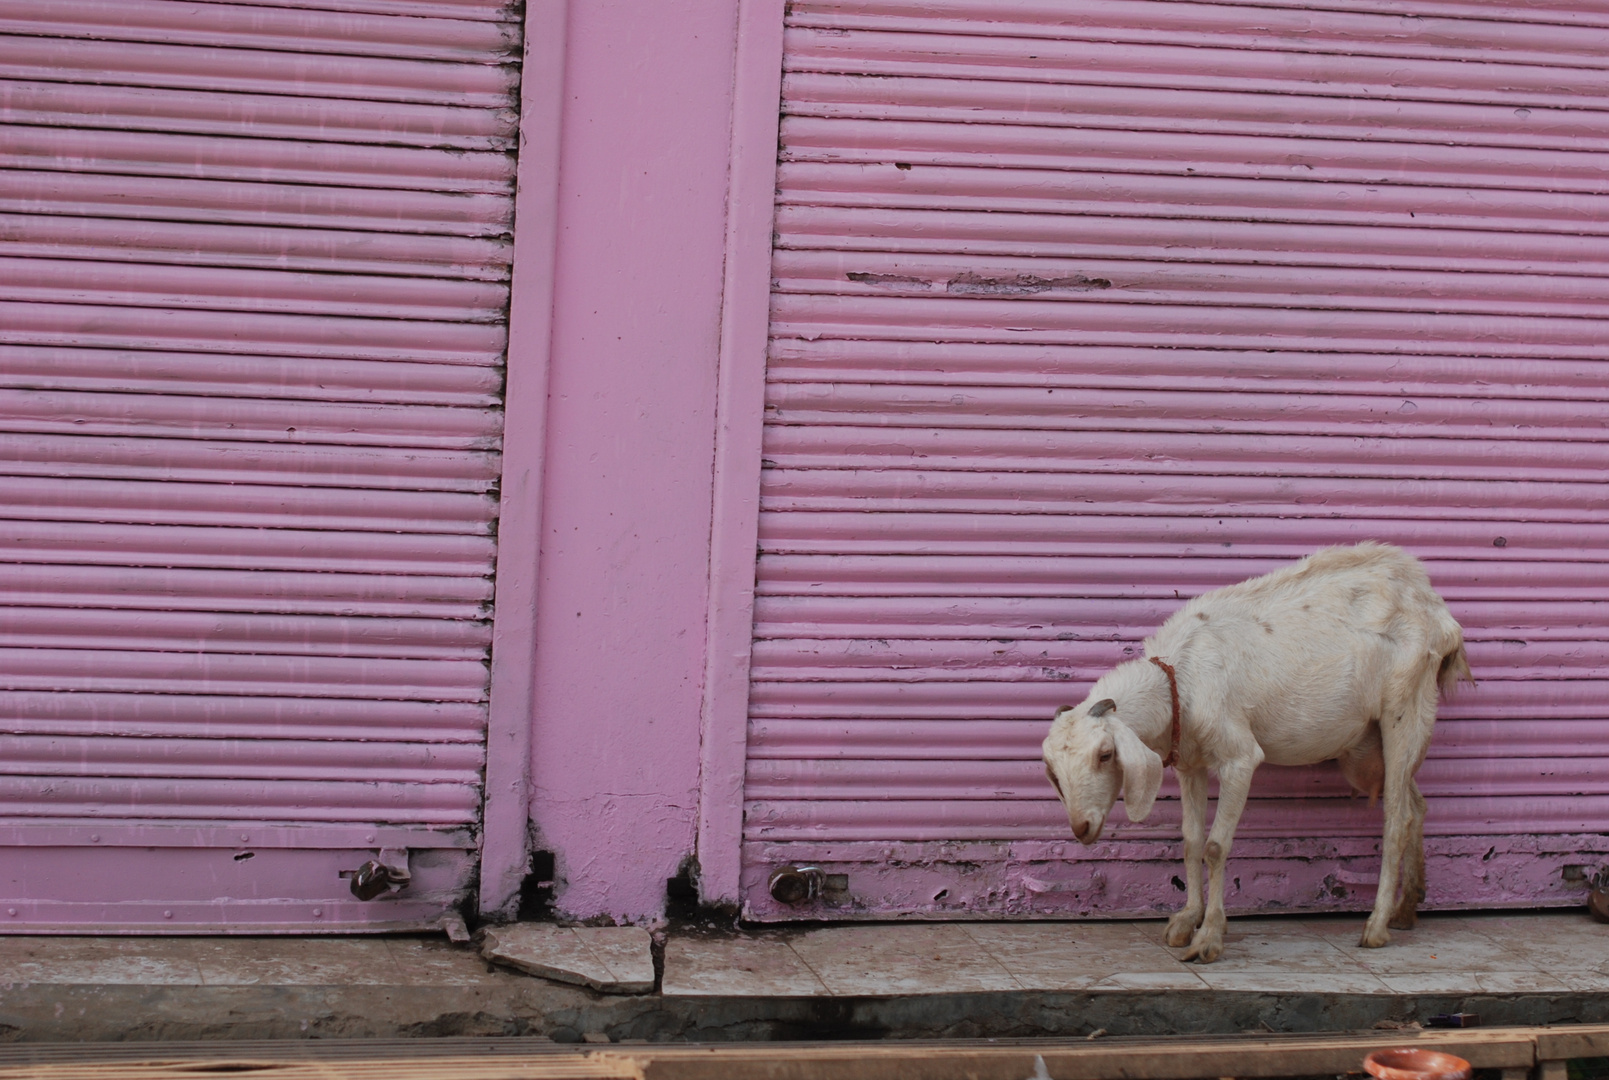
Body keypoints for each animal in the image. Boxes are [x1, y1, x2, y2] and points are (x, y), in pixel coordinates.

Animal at [1042, 544, 1473, 965]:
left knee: (1397, 819)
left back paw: (1378, 926)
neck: (1183, 675)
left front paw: (1209, 938)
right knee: (1416, 806)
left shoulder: (1239, 758)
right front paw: (1186, 920)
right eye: (1054, 774)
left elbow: (1215, 847)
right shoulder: (1190, 763)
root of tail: (1437, 610)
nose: (1081, 827)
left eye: (1105, 754)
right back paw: (1406, 909)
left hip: (1405, 707)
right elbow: (1191, 842)